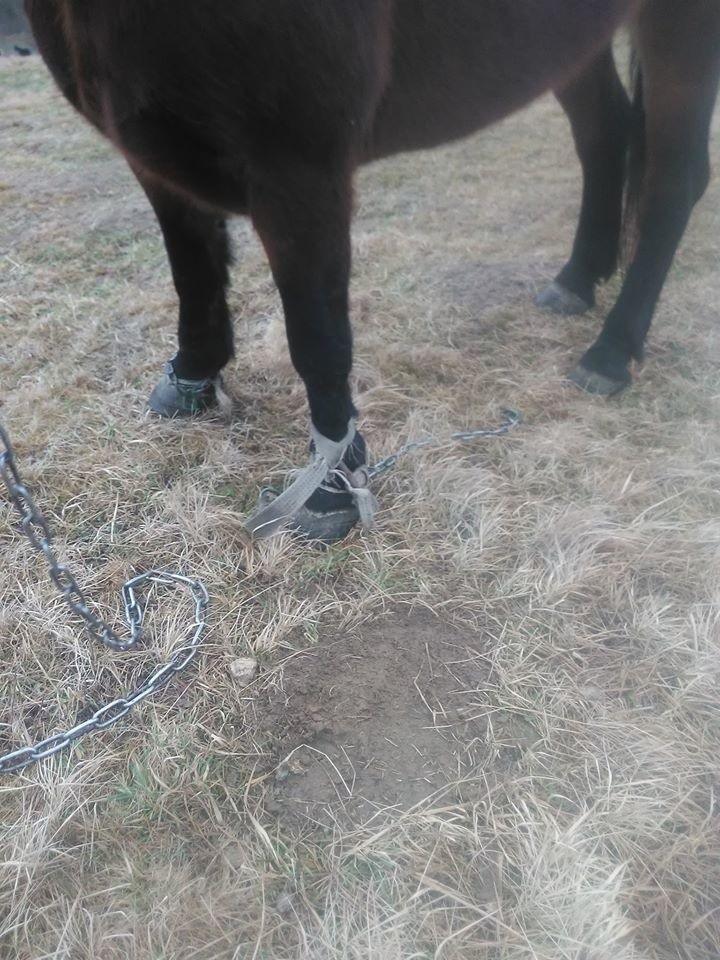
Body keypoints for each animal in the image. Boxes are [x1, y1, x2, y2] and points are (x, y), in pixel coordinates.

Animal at [22, 0, 720, 532]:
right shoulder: (152, 153)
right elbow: (193, 271)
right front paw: (192, 374)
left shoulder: (299, 169)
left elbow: (318, 337)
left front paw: (332, 480)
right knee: (605, 134)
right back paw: (576, 280)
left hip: (680, 27)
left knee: (673, 182)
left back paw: (611, 351)